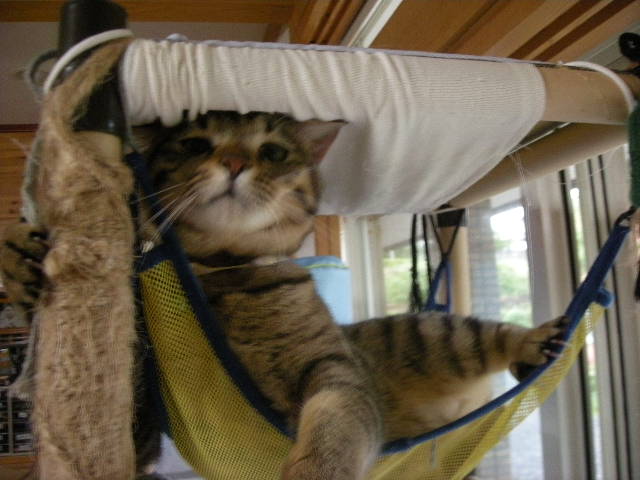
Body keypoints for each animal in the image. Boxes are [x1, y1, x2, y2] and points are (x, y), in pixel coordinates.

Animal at [0, 111, 568, 480]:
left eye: (271, 151)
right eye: (196, 144)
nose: (233, 162)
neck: (225, 272)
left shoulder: (335, 371)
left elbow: (335, 424)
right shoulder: (139, 424)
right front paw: (22, 258)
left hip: (433, 334)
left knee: (489, 334)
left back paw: (535, 342)